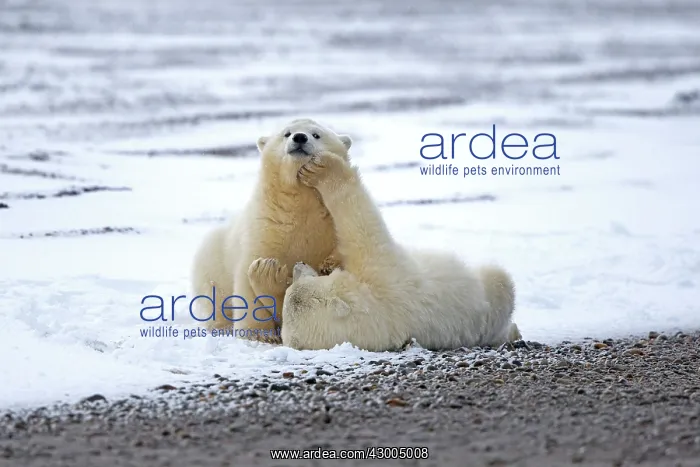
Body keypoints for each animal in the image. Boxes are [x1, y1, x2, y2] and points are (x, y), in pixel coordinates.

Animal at [189, 118, 352, 343]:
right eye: (287, 133)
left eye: (316, 134)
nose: (299, 137)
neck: (300, 206)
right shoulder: (265, 229)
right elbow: (249, 279)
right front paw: (259, 334)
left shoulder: (331, 227)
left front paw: (328, 264)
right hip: (212, 260)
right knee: (215, 296)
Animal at [272, 149, 521, 351]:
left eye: (300, 280)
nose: (298, 265)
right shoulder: (384, 279)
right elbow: (362, 225)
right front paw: (323, 169)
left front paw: (330, 262)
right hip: (492, 297)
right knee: (499, 280)